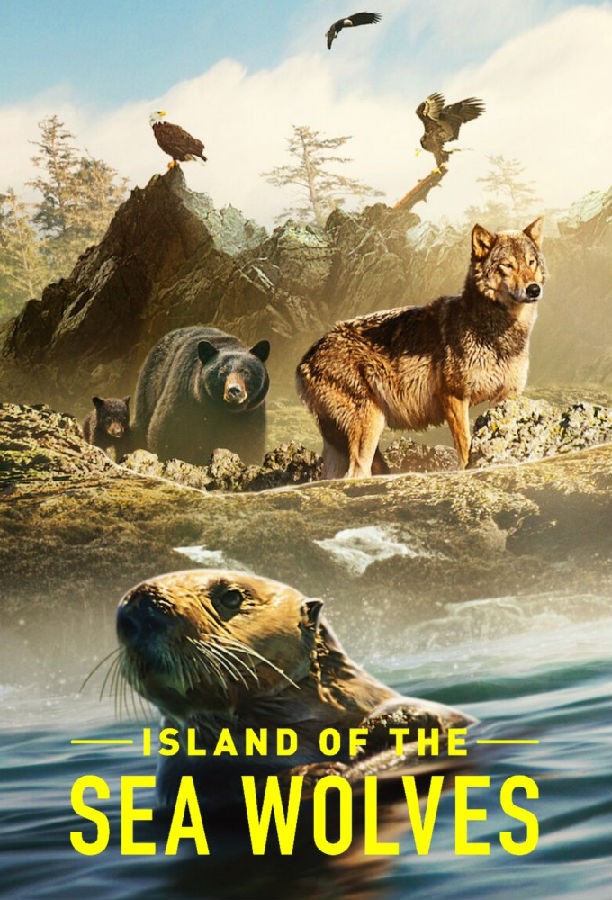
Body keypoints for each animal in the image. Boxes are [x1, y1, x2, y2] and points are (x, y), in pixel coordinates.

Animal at [296, 218, 546, 478]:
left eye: (531, 262)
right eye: (508, 265)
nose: (534, 289)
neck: (496, 332)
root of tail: (305, 359)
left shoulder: (505, 398)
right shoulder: (454, 397)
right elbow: (465, 446)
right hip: (370, 426)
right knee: (356, 473)